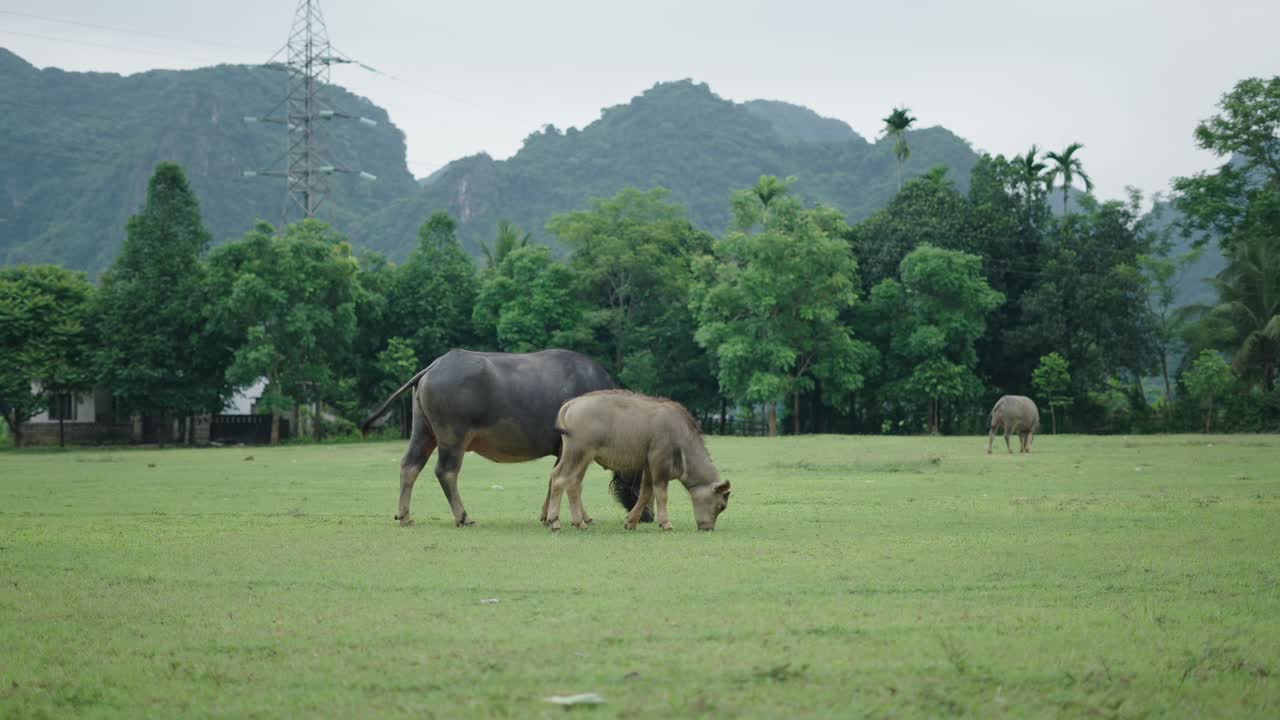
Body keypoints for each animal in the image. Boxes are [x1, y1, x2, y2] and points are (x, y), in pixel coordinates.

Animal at [361, 349, 647, 527]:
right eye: (641, 476)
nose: (646, 516)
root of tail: (435, 366)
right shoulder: (573, 449)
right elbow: (569, 481)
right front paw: (581, 518)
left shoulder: (561, 450)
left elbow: (555, 479)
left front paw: (547, 515)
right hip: (452, 437)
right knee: (446, 472)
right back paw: (463, 517)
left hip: (423, 431)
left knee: (410, 466)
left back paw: (404, 516)